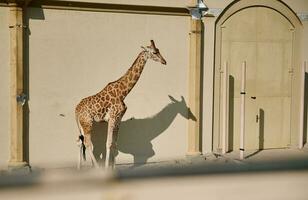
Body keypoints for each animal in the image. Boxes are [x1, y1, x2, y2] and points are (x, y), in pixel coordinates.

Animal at [74, 39, 166, 169]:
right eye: (154, 52)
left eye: (158, 50)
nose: (164, 61)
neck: (123, 92)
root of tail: (76, 110)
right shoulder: (112, 118)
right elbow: (108, 143)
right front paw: (107, 168)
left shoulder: (118, 119)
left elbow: (115, 144)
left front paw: (113, 167)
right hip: (88, 123)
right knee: (88, 144)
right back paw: (96, 168)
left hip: (81, 125)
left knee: (79, 142)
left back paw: (80, 168)